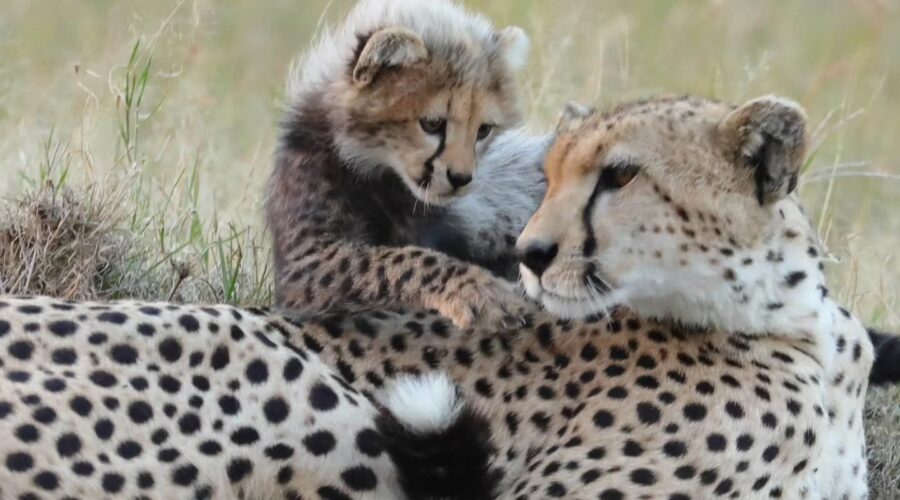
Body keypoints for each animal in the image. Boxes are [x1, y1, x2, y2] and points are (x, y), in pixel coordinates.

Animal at [267, 0, 537, 329]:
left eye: (483, 130)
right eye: (432, 124)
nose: (461, 178)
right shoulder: (307, 261)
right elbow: (396, 259)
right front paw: (480, 290)